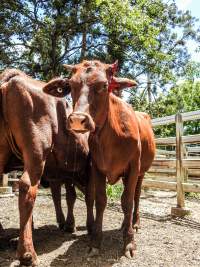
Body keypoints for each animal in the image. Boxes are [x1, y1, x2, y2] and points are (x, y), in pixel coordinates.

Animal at [0, 69, 90, 266]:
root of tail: (13, 78)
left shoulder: (62, 173)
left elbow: (63, 196)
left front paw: (65, 222)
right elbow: (79, 196)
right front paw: (75, 224)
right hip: (36, 151)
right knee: (27, 187)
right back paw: (27, 253)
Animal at [42, 60, 156, 260]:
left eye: (104, 85)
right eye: (71, 85)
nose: (77, 120)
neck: (111, 138)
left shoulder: (133, 167)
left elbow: (127, 201)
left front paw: (129, 243)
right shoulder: (97, 168)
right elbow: (100, 200)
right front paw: (95, 242)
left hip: (141, 173)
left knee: (136, 196)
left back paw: (133, 223)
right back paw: (124, 224)